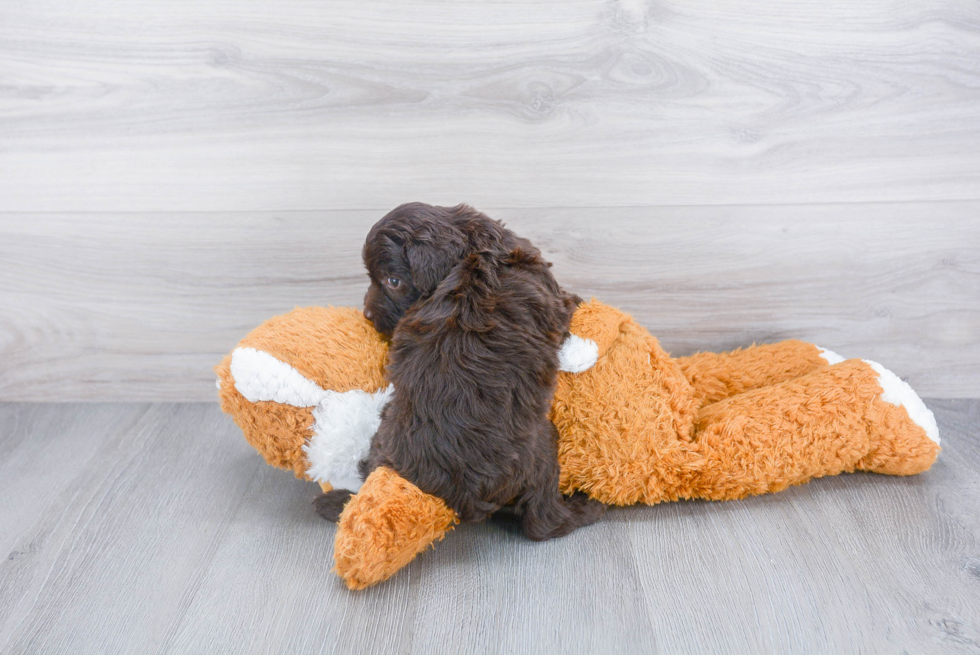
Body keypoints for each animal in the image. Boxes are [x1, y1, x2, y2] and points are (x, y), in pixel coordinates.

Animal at [316, 206, 604, 544]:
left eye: (393, 280)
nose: (368, 316)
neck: (478, 249)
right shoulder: (551, 294)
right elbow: (567, 301)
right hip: (541, 449)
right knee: (541, 520)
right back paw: (584, 508)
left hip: (383, 431)